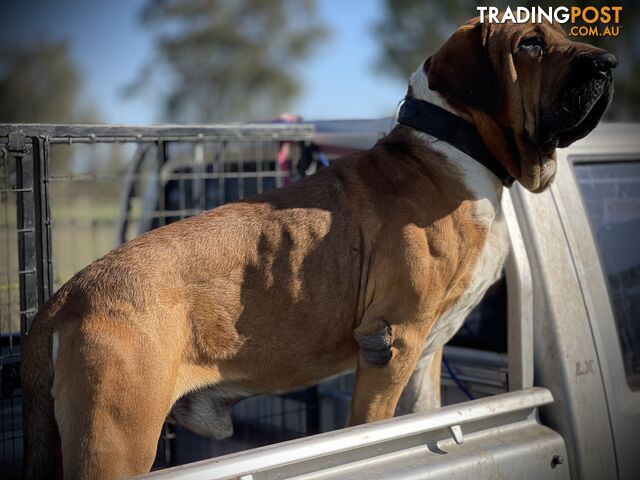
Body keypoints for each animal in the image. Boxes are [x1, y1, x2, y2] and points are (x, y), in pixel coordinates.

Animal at [23, 16, 616, 478]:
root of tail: (66, 295)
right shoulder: (390, 343)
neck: (454, 147)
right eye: (530, 44)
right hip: (115, 441)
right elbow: (372, 424)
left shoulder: (426, 356)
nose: (609, 62)